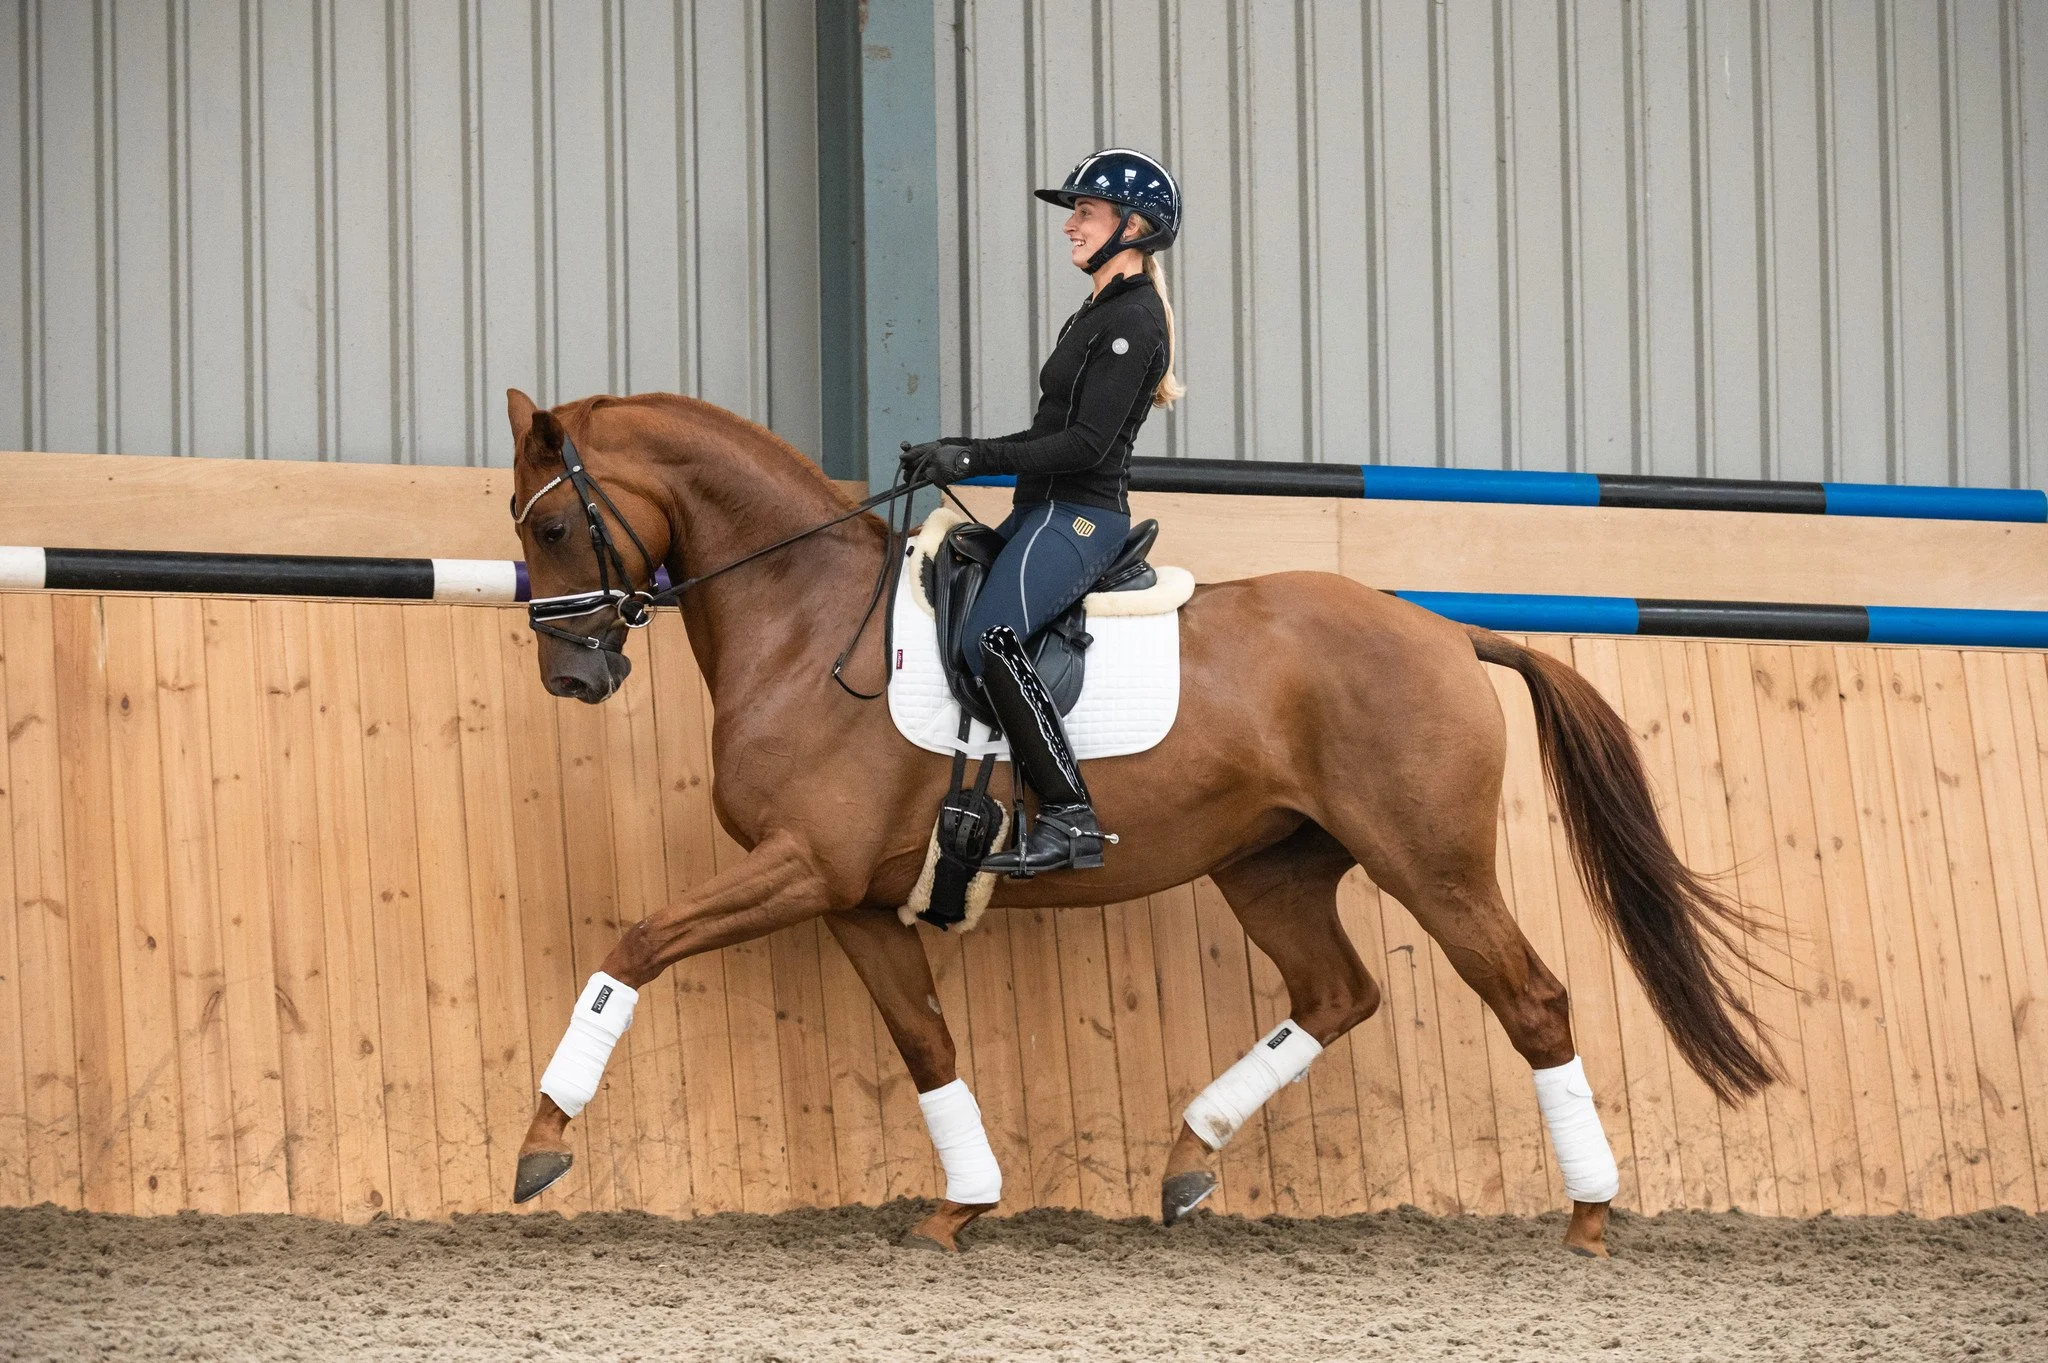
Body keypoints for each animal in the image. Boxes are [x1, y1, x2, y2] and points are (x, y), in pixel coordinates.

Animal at [502, 387, 1777, 1257]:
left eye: (553, 528)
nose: (571, 676)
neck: (812, 626)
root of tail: (1444, 629)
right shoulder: (853, 896)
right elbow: (926, 1044)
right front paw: (960, 1204)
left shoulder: (800, 869)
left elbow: (634, 946)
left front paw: (542, 1142)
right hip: (1271, 867)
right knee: (1335, 993)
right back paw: (1184, 1160)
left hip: (1430, 863)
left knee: (1532, 1001)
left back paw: (1588, 1215)